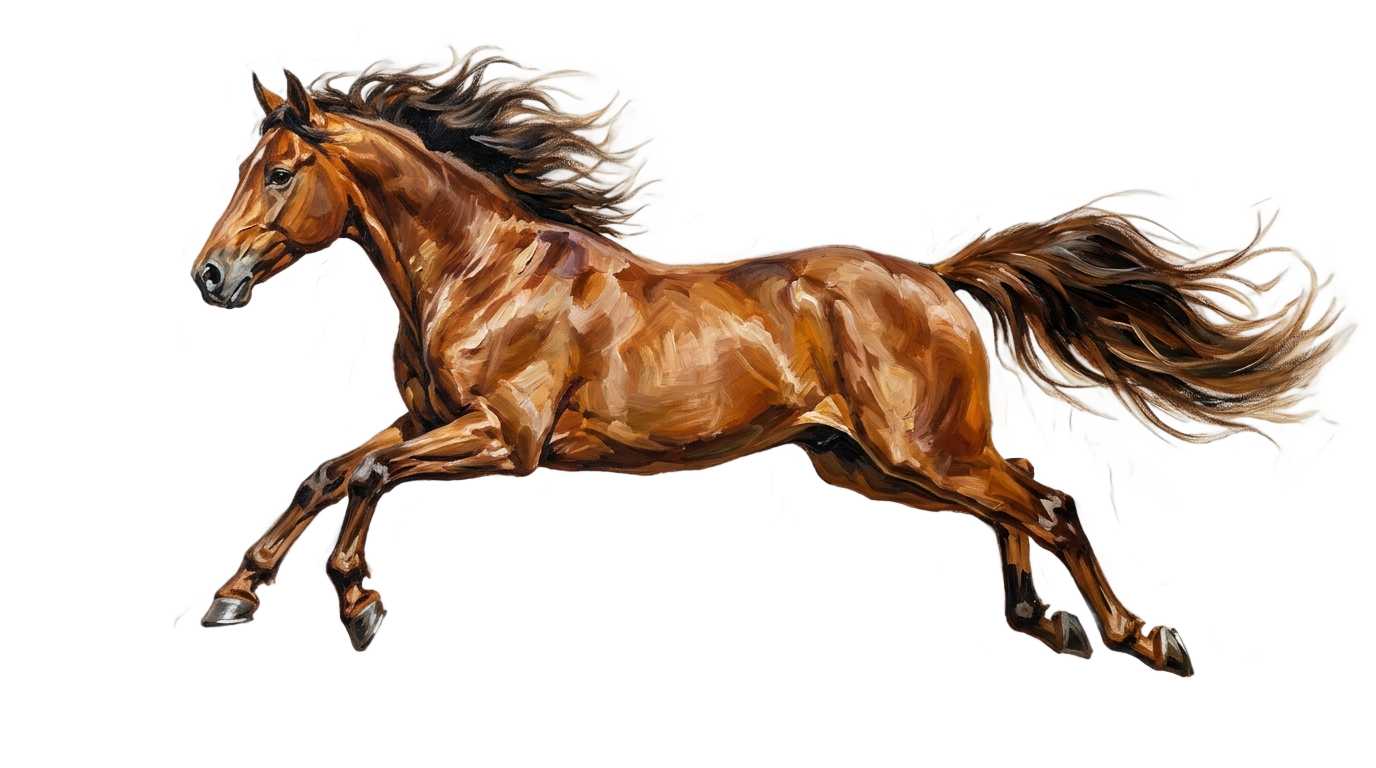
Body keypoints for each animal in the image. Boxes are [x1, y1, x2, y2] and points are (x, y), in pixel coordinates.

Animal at [189, 48, 1337, 676]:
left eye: (280, 173)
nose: (210, 276)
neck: (480, 272)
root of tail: (938, 278)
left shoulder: (503, 438)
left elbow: (370, 477)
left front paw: (361, 605)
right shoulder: (432, 421)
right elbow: (329, 470)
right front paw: (232, 599)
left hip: (917, 450)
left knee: (1045, 508)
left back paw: (1142, 639)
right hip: (883, 458)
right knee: (1012, 505)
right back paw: (1032, 615)